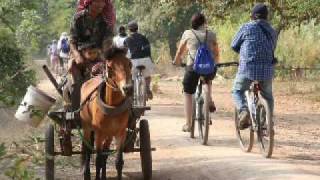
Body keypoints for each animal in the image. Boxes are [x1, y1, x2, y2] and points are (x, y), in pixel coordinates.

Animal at [81, 47, 134, 179]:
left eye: (129, 64)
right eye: (109, 67)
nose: (128, 88)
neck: (112, 106)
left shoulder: (121, 133)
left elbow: (118, 162)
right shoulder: (99, 134)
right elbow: (98, 160)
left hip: (109, 134)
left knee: (105, 153)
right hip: (87, 128)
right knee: (88, 150)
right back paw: (86, 173)